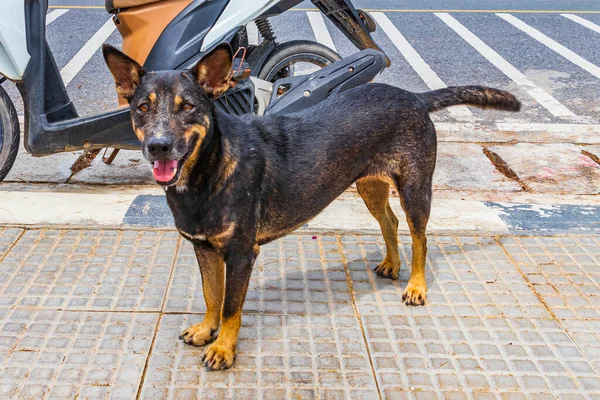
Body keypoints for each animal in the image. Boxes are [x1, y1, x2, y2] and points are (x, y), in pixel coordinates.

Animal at [103, 42, 520, 370]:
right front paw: (207, 329)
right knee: (390, 221)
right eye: (142, 108)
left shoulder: (241, 254)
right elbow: (211, 295)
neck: (210, 168)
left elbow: (231, 307)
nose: (158, 146)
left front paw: (223, 348)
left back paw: (416, 285)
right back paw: (392, 263)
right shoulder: (204, 248)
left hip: (416, 188)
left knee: (420, 236)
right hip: (369, 184)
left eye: (187, 106)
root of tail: (415, 97)